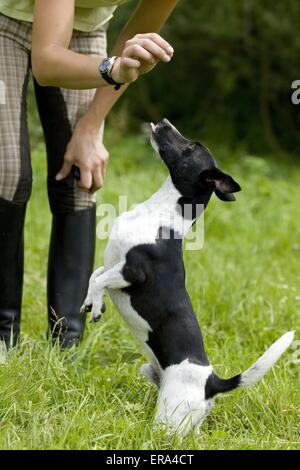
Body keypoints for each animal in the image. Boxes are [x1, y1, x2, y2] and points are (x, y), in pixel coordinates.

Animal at [81, 119, 294, 436]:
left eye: (191, 147)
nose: (164, 122)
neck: (160, 214)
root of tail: (212, 383)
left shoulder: (132, 272)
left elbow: (99, 279)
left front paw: (95, 306)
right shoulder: (113, 264)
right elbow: (96, 274)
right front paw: (91, 302)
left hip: (168, 419)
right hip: (156, 380)